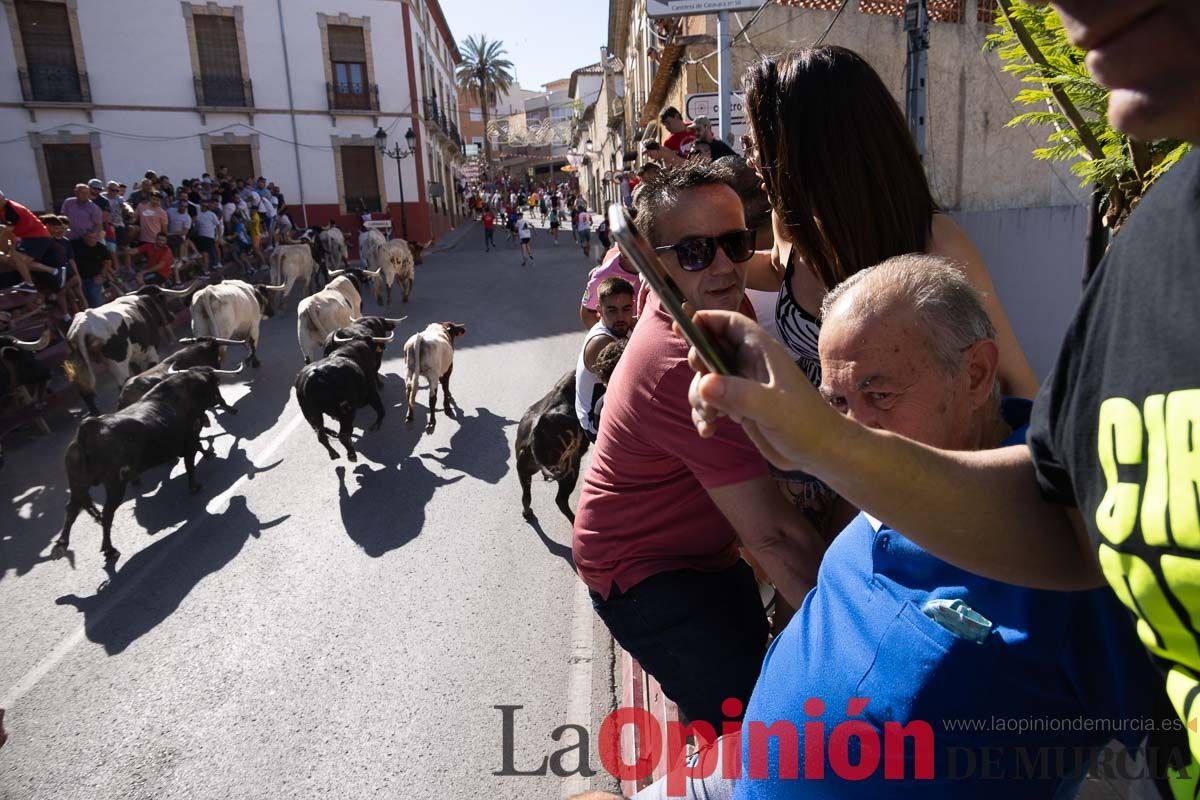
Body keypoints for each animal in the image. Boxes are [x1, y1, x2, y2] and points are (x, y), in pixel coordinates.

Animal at [52, 369, 235, 563]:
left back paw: (61, 545)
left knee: (72, 510)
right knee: (107, 515)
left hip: (78, 484)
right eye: (214, 387)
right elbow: (191, 463)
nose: (229, 407)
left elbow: (197, 449)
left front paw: (207, 455)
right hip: (114, 486)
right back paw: (109, 549)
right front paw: (195, 485)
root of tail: (88, 429)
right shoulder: (190, 439)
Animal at [64, 286, 195, 412]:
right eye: (162, 300)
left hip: (81, 366)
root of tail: (82, 326)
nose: (172, 316)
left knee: (86, 392)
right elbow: (149, 369)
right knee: (122, 384)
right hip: (118, 363)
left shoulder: (132, 359)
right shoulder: (152, 351)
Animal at [296, 326, 393, 462]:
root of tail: (316, 374)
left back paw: (334, 453)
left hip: (311, 414)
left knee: (321, 435)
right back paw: (351, 454)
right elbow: (380, 410)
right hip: (345, 411)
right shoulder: (371, 392)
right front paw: (375, 426)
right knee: (342, 434)